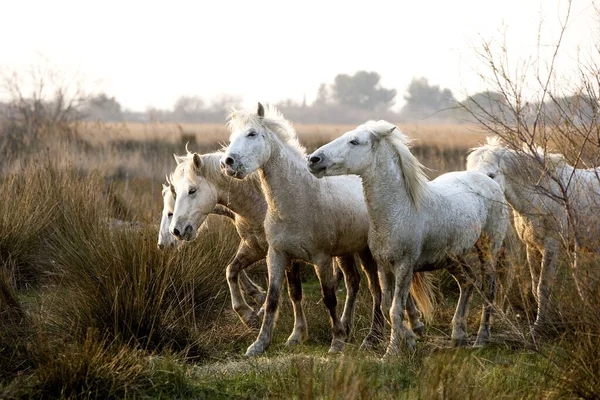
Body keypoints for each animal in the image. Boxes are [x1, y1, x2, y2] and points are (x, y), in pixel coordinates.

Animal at [218, 103, 434, 356]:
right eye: (232, 136)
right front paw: (261, 343)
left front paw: (336, 341)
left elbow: (329, 297)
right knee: (354, 283)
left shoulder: (320, 259)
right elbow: (274, 298)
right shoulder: (278, 254)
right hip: (346, 253)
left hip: (367, 254)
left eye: (252, 134)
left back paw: (374, 336)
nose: (228, 163)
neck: (297, 199)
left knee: (376, 291)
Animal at [308, 119, 508, 356]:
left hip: (488, 249)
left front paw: (392, 352)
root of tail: (488, 181)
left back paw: (481, 338)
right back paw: (458, 336)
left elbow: (396, 308)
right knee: (468, 281)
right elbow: (387, 305)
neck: (398, 210)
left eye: (354, 141)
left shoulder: (405, 266)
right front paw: (410, 339)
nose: (313, 160)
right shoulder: (384, 266)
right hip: (452, 257)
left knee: (489, 288)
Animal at [468, 138, 600, 334]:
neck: (539, 196)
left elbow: (543, 287)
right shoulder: (531, 246)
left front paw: (538, 327)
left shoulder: (552, 246)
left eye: (491, 175)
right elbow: (535, 285)